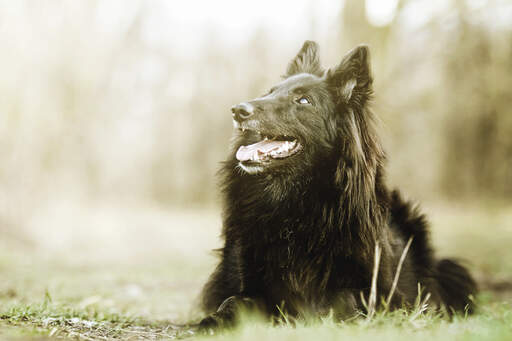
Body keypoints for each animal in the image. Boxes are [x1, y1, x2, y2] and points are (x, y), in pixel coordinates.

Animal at [199, 41, 476, 328]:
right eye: (270, 92)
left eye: (303, 100)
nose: (238, 110)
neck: (295, 206)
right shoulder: (251, 282)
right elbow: (233, 301)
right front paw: (211, 323)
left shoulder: (374, 291)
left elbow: (341, 301)